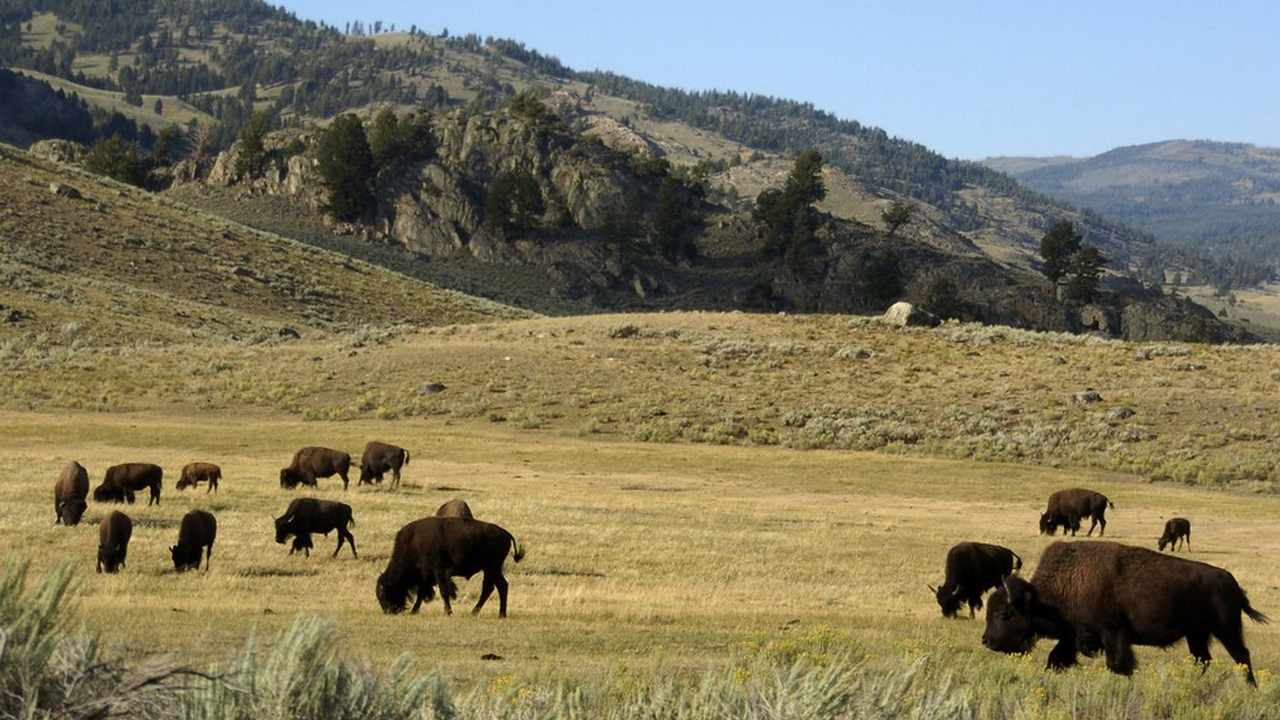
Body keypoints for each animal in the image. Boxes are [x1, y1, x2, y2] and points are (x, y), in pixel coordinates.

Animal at [373, 515, 524, 617]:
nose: (388, 611)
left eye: (383, 593)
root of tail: (505, 533)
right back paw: (491, 613)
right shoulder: (426, 576)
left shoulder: (438, 571)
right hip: (492, 569)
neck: (413, 542)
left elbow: (443, 591)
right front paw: (414, 611)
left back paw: (487, 613)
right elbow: (422, 593)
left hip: (492, 567)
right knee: (498, 586)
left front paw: (448, 612)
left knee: (493, 587)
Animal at [977, 538, 1269, 681]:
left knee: (1241, 655)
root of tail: (1232, 582)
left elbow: (1118, 664)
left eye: (1005, 614)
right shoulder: (1072, 636)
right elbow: (1056, 658)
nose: (987, 641)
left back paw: (1249, 687)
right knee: (1203, 659)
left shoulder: (1113, 633)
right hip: (1196, 634)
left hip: (1226, 629)